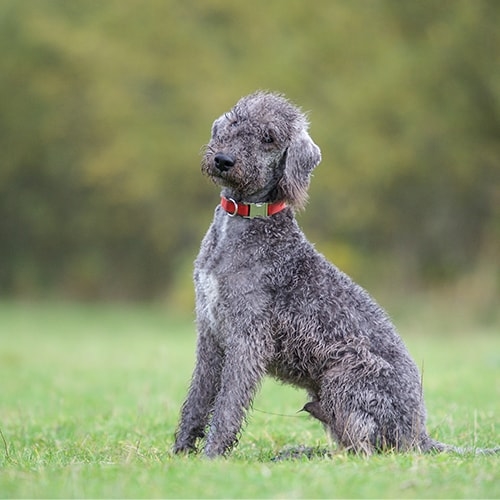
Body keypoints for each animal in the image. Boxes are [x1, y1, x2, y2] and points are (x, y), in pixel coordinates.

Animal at [174, 90, 494, 458]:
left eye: (269, 137)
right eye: (235, 121)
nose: (224, 160)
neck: (246, 221)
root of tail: (418, 434)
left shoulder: (247, 339)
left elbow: (228, 404)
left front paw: (212, 456)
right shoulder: (210, 333)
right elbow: (197, 399)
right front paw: (180, 453)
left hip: (347, 376)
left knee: (363, 452)